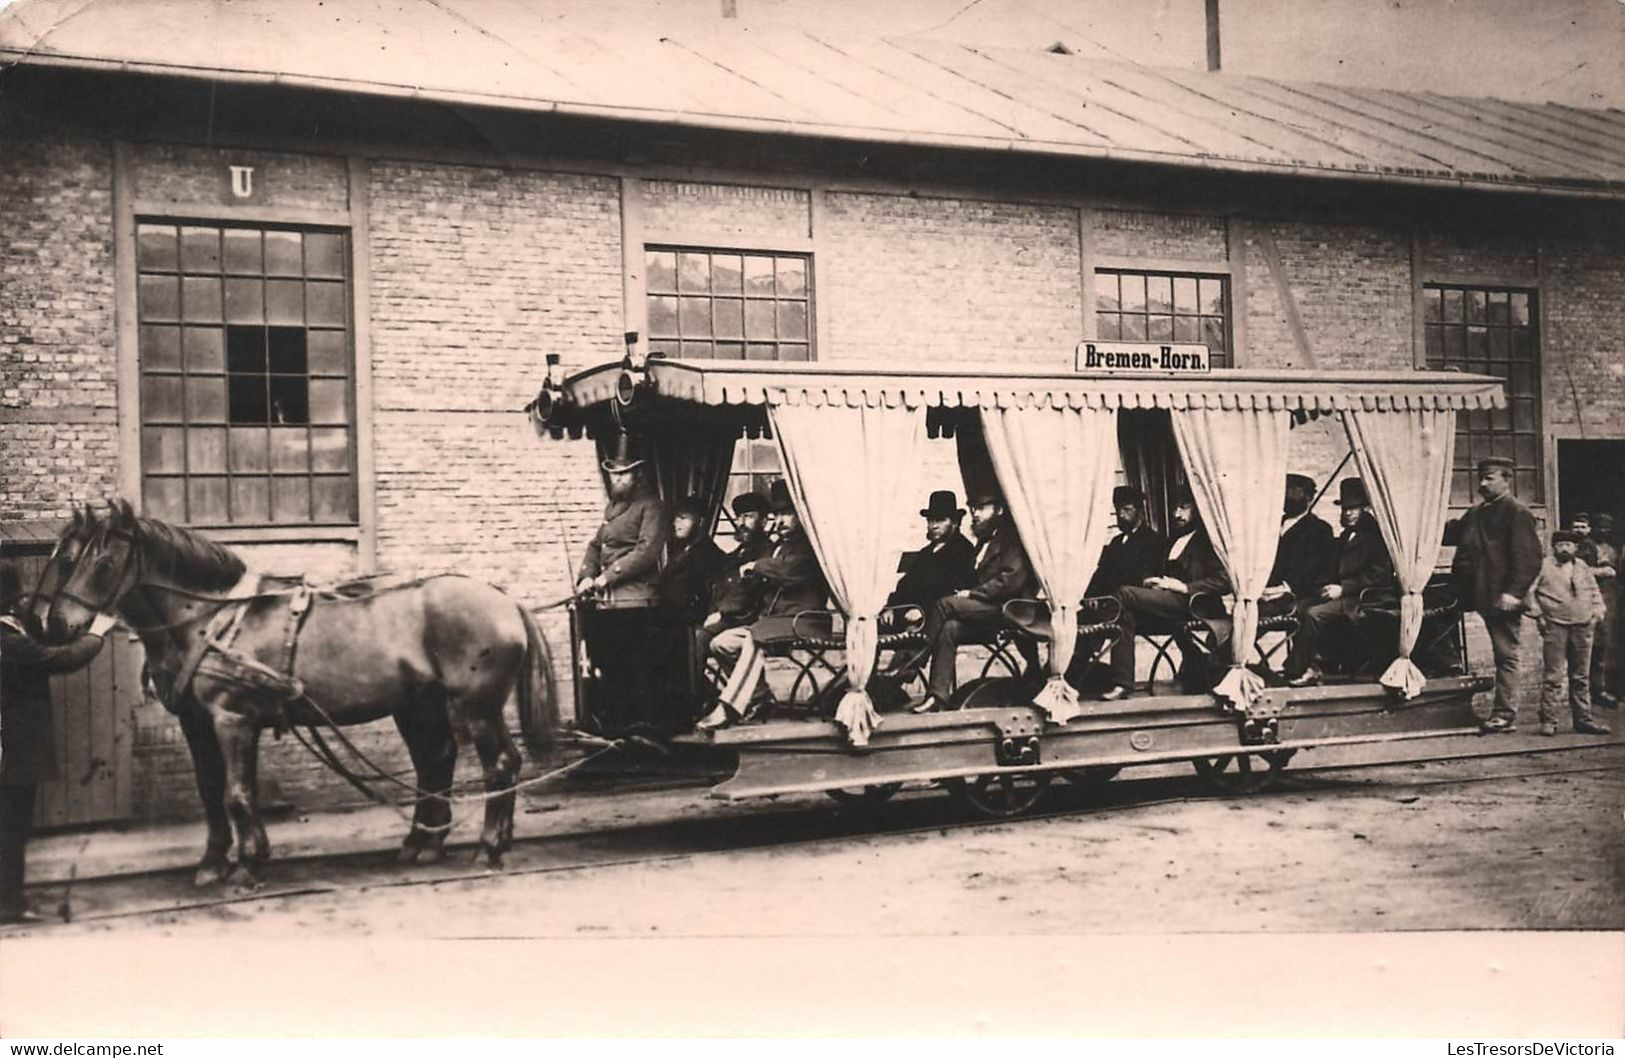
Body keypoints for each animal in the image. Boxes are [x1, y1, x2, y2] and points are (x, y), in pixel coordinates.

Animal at [25, 500, 555, 884]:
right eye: (67, 560)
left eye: (104, 561)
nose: (57, 624)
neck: (208, 619)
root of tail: (504, 598)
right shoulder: (197, 723)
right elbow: (211, 790)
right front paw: (215, 862)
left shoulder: (233, 718)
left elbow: (238, 793)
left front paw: (245, 865)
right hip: (418, 705)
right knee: (436, 760)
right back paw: (423, 844)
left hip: (477, 706)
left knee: (499, 765)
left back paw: (488, 847)